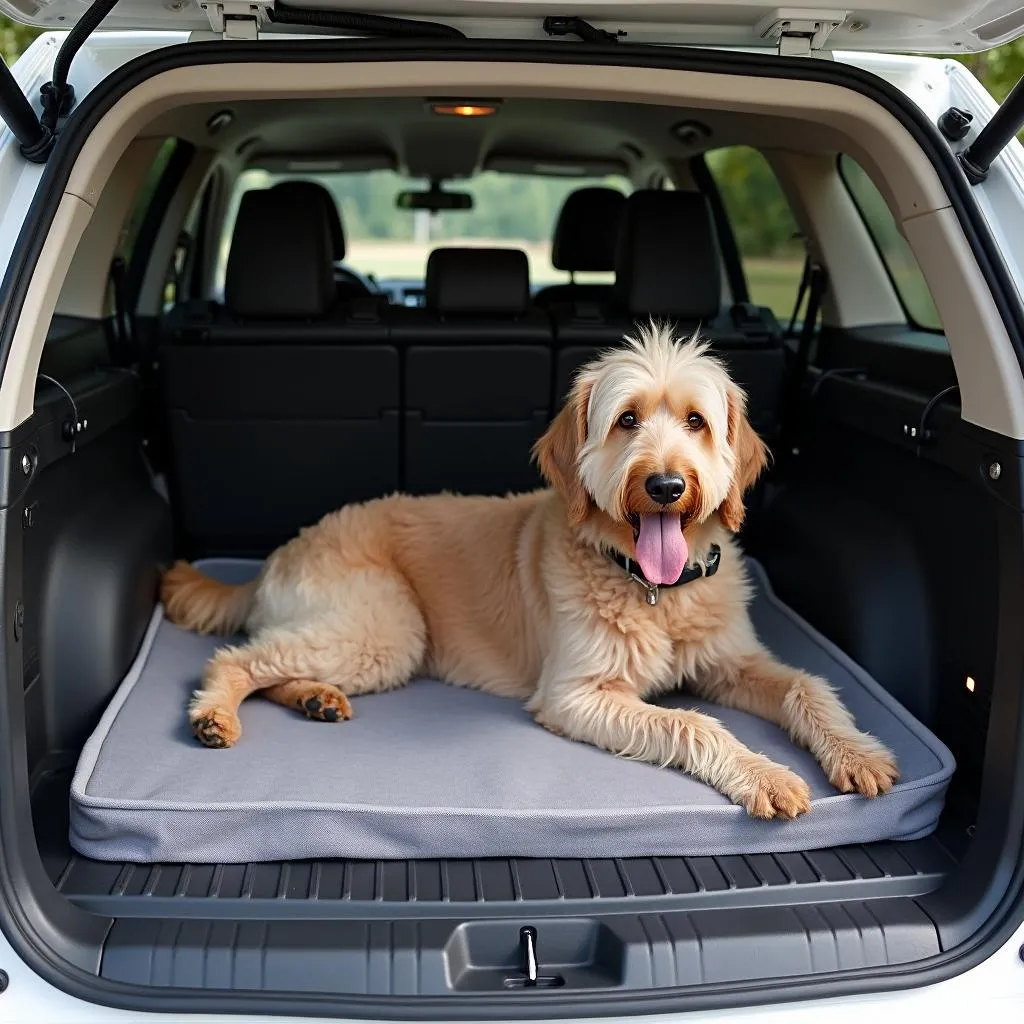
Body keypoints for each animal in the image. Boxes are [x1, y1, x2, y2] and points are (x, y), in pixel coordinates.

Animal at [159, 323, 897, 819]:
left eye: (697, 421)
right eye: (627, 420)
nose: (664, 486)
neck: (653, 591)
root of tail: (280, 554)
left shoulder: (733, 662)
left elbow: (808, 686)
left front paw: (858, 754)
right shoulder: (575, 694)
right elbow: (692, 723)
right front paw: (765, 775)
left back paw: (316, 698)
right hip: (384, 629)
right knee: (236, 658)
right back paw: (216, 714)